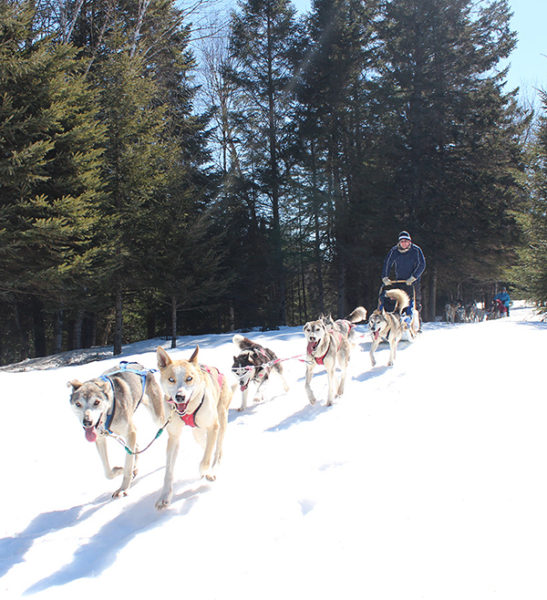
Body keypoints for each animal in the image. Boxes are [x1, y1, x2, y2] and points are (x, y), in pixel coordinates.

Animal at [68, 364, 165, 500]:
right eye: (78, 404)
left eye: (96, 402)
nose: (87, 422)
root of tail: (141, 367)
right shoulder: (100, 438)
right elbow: (108, 472)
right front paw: (120, 470)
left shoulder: (130, 432)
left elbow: (128, 466)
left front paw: (123, 488)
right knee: (136, 447)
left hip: (156, 417)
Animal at [155, 344, 232, 508]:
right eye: (171, 379)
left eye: (189, 378)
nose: (180, 397)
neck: (189, 409)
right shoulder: (174, 437)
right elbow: (168, 471)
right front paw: (164, 495)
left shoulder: (213, 426)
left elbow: (206, 459)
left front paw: (205, 470)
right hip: (197, 432)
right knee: (205, 443)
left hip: (221, 417)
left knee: (217, 449)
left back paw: (213, 469)